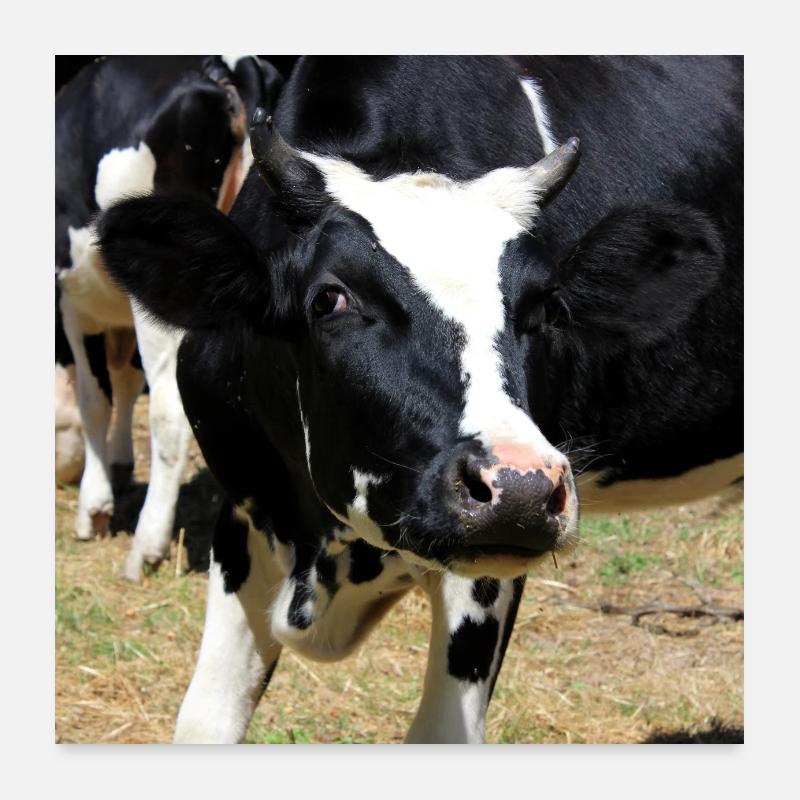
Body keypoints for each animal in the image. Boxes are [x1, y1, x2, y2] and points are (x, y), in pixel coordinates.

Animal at [55, 55, 283, 581]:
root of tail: (223, 67)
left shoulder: (76, 301)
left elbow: (94, 398)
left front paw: (94, 506)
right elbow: (123, 379)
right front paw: (120, 465)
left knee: (169, 409)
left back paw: (147, 545)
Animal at [97, 56, 743, 743]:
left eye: (546, 310)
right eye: (330, 298)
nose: (521, 488)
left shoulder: (484, 574)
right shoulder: (245, 508)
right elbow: (204, 720)